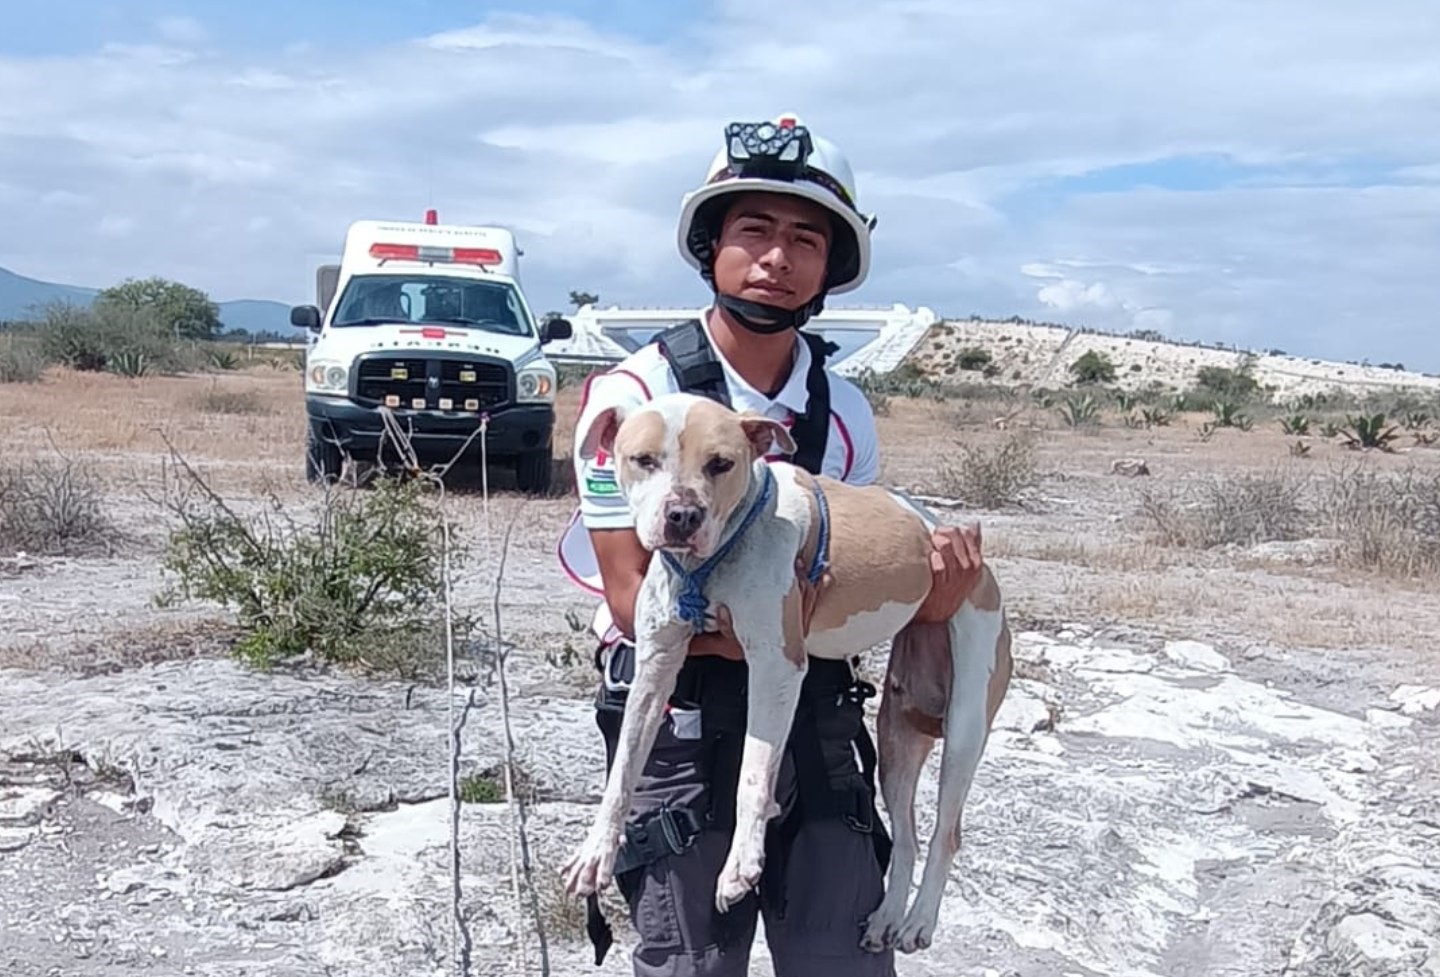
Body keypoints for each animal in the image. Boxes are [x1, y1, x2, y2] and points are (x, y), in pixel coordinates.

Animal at [561, 391, 1013, 956]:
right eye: (643, 459)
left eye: (721, 464)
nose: (683, 515)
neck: (718, 557)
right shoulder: (656, 665)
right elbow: (622, 770)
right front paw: (595, 854)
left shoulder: (776, 666)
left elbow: (752, 776)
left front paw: (740, 866)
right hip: (897, 736)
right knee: (906, 833)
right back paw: (887, 918)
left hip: (966, 722)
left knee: (946, 832)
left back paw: (918, 923)